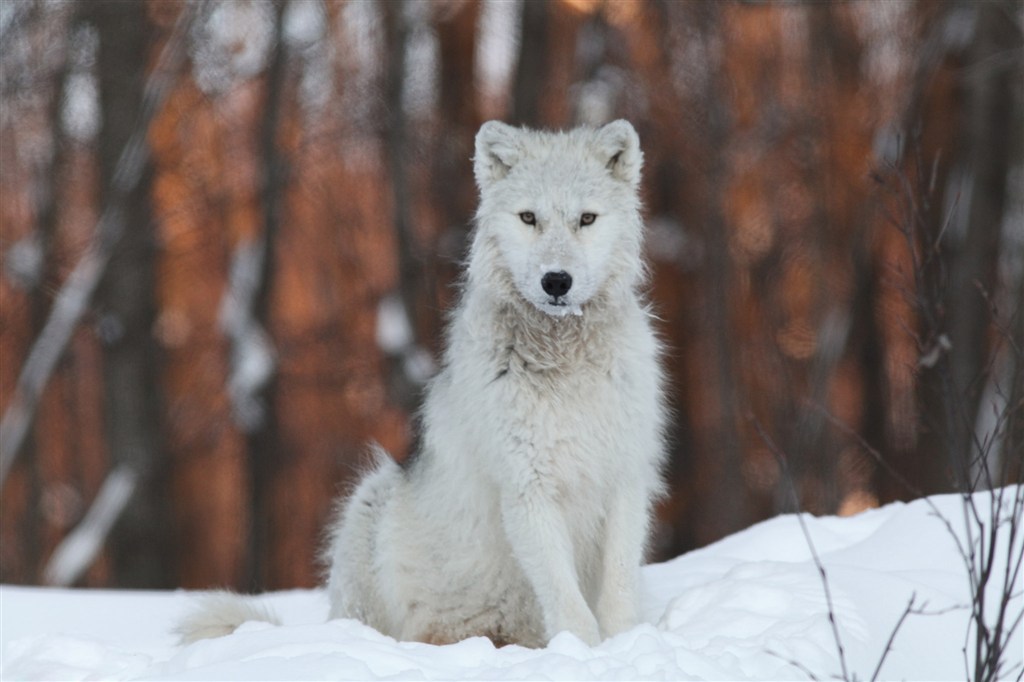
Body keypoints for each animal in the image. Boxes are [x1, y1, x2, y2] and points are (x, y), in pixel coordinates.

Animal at [180, 118, 667, 647]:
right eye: (529, 218)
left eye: (586, 219)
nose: (556, 281)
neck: (563, 363)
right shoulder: (528, 488)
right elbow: (569, 604)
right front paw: (582, 651)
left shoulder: (624, 479)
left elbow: (618, 589)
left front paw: (625, 643)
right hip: (368, 498)